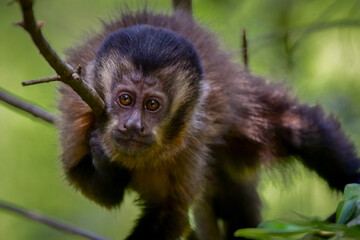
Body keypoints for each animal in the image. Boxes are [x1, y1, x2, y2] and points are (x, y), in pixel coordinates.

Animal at [57, 7, 358, 240]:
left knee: (298, 130)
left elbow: (169, 212)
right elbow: (93, 189)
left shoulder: (189, 138)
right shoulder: (76, 112)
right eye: (125, 99)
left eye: (152, 105)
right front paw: (104, 160)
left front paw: (104, 156)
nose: (133, 126)